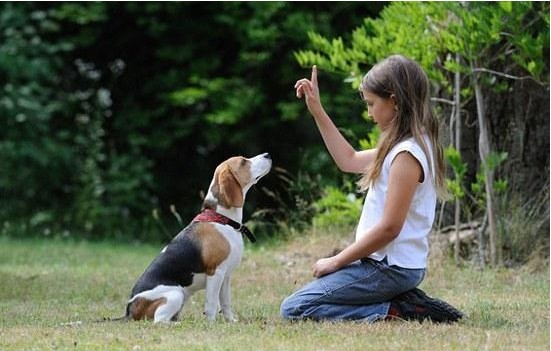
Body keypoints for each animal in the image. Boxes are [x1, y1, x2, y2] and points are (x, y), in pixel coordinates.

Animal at [125, 153, 272, 324]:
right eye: (243, 161)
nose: (267, 154)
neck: (222, 219)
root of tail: (129, 309)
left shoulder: (226, 276)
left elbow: (226, 302)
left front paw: (231, 322)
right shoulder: (215, 272)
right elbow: (212, 304)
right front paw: (211, 324)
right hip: (176, 294)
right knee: (159, 321)